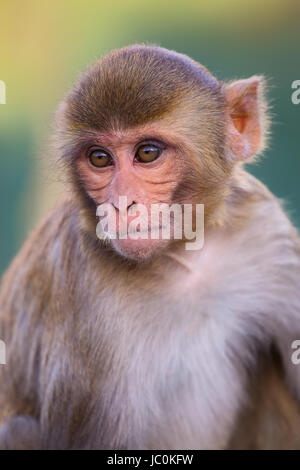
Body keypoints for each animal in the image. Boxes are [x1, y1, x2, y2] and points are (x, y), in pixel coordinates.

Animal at [0, 45, 300, 452]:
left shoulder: (266, 233)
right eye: (99, 158)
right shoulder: (83, 287)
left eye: (147, 153)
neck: (185, 256)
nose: (120, 205)